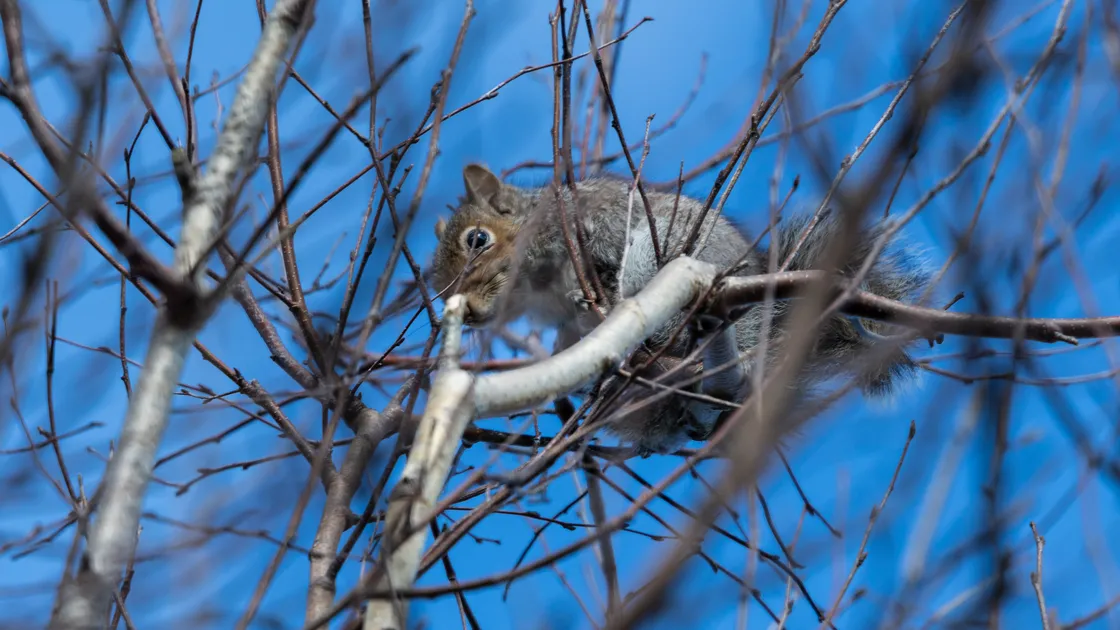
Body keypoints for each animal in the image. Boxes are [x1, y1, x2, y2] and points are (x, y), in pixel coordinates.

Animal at [431, 164, 932, 456]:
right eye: (436, 286)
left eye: (478, 239)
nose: (465, 311)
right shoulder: (562, 324)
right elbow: (567, 340)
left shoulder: (590, 231)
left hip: (662, 256)